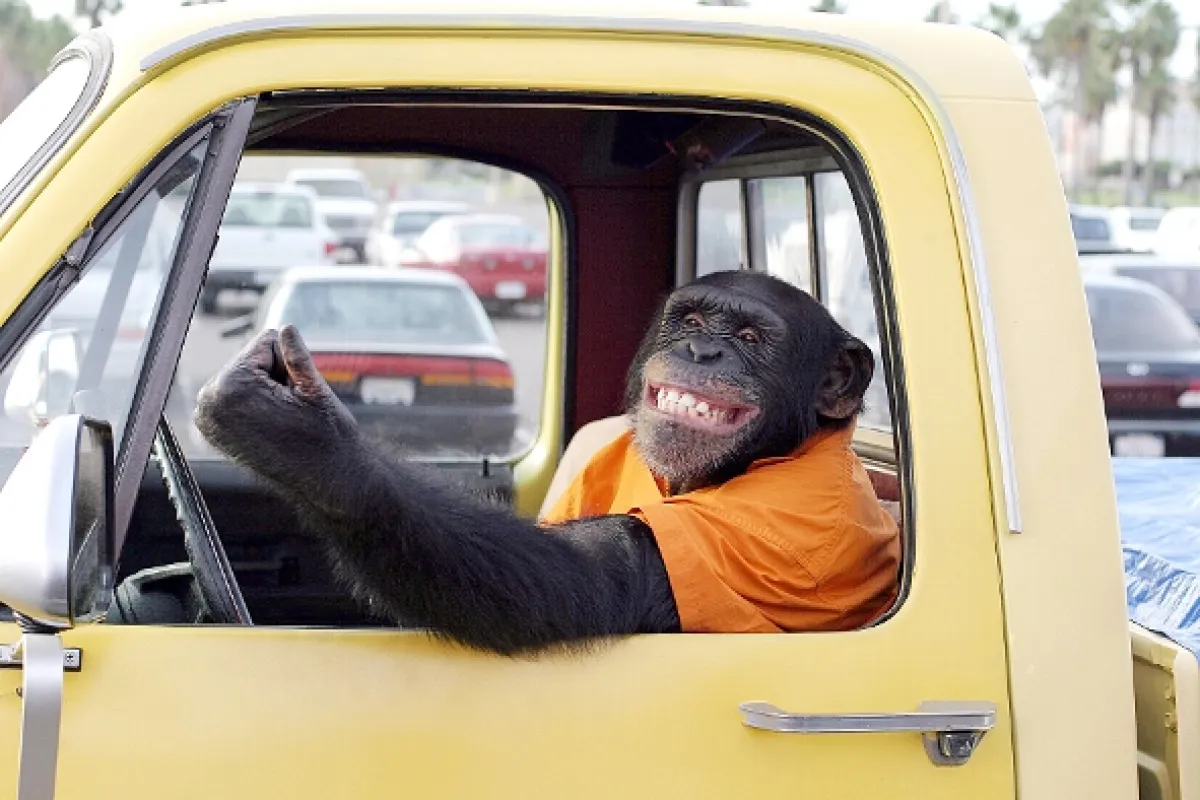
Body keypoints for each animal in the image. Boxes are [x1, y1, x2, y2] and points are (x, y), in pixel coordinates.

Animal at [193, 271, 900, 655]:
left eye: (751, 338)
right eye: (694, 321)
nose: (703, 352)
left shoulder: (763, 542)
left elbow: (574, 578)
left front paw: (305, 440)